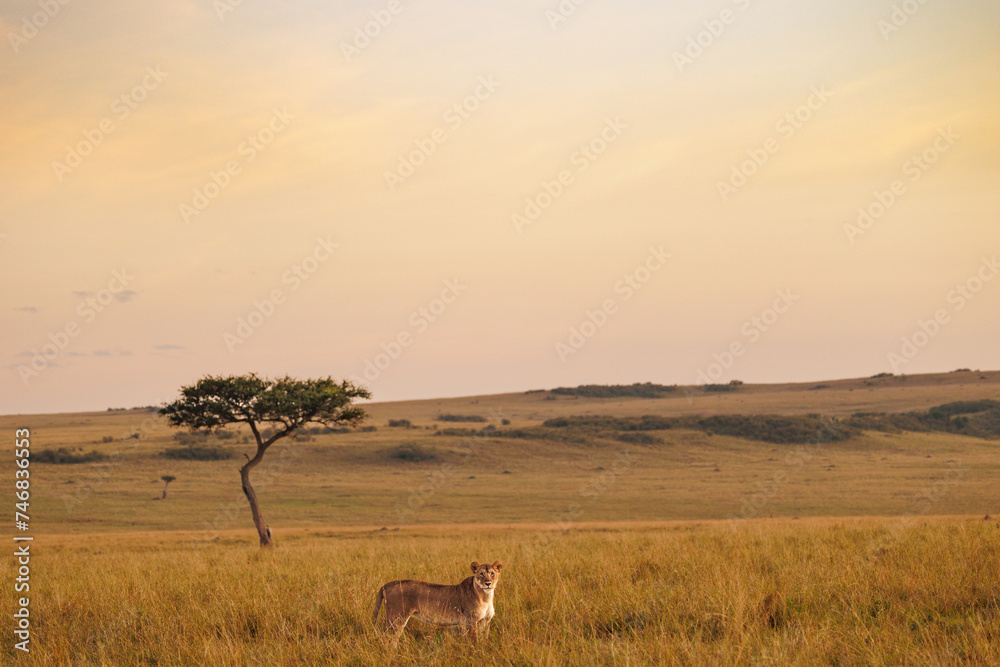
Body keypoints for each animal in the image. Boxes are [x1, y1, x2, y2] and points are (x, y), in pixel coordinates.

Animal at [372, 561, 503, 641]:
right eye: (481, 574)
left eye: (492, 573)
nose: (488, 583)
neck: (485, 597)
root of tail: (387, 584)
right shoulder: (471, 621)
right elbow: (474, 641)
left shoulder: (486, 621)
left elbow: (484, 639)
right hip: (396, 618)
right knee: (386, 638)